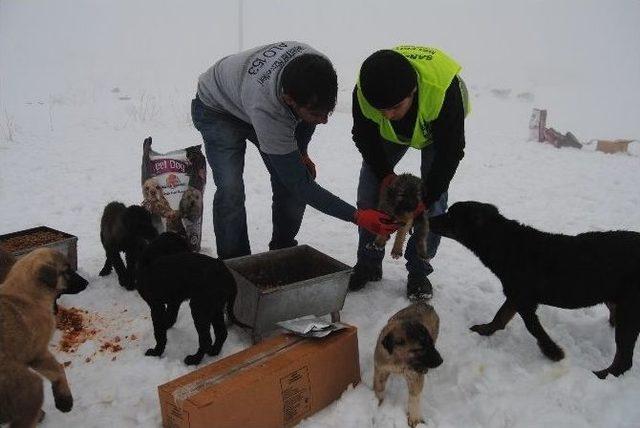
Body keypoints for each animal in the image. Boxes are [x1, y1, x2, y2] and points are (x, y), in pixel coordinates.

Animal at [0, 247, 87, 428]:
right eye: (66, 271)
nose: (86, 283)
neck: (27, 294)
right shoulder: (38, 352)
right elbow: (58, 369)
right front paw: (64, 401)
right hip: (30, 388)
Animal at [138, 234, 248, 364]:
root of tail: (229, 277)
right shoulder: (174, 301)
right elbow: (170, 317)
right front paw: (166, 325)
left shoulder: (156, 305)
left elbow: (159, 331)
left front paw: (156, 352)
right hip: (215, 307)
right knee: (221, 333)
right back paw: (213, 352)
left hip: (199, 307)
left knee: (206, 339)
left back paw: (194, 359)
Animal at [428, 201, 640, 378]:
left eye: (450, 214)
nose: (428, 217)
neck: (506, 245)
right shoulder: (514, 295)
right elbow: (500, 317)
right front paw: (485, 329)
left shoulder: (524, 299)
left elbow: (533, 328)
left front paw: (553, 352)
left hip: (629, 307)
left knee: (624, 359)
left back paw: (601, 375)